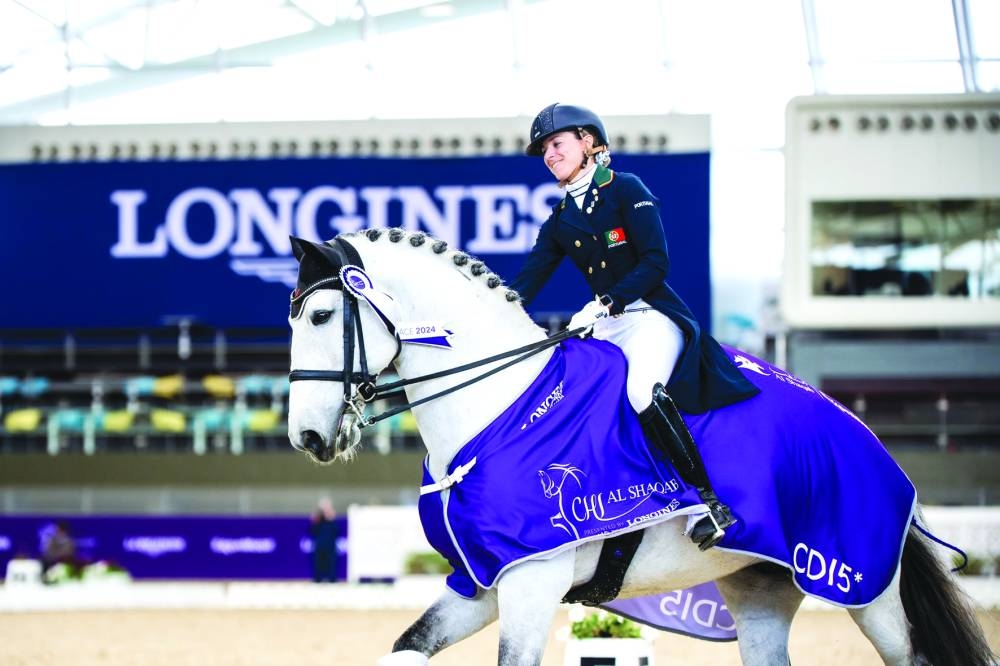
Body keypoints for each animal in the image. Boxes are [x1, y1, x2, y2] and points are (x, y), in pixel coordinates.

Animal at [285, 229, 994, 666]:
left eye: (320, 317)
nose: (307, 437)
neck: (498, 408)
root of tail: (876, 445)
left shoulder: (533, 580)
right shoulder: (480, 581)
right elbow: (402, 649)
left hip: (866, 586)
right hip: (762, 589)